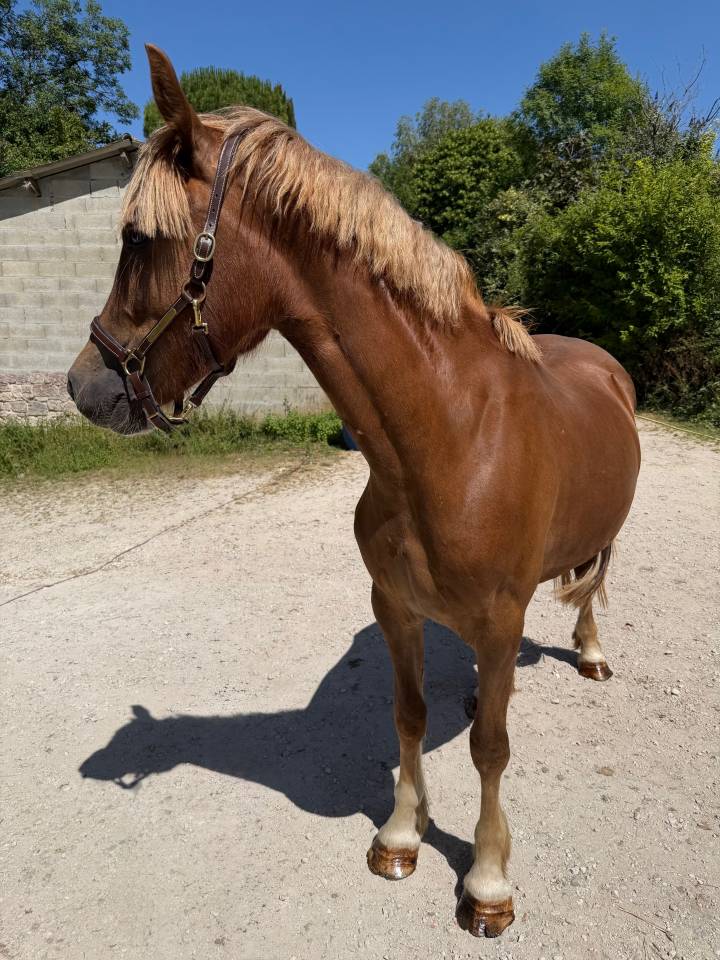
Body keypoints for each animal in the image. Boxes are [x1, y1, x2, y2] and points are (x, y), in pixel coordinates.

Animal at [67, 44, 640, 939]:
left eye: (140, 238)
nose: (83, 388)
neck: (449, 438)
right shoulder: (395, 605)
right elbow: (409, 717)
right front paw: (401, 836)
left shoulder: (499, 614)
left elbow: (493, 750)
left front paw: (487, 883)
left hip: (603, 539)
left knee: (594, 583)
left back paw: (590, 652)